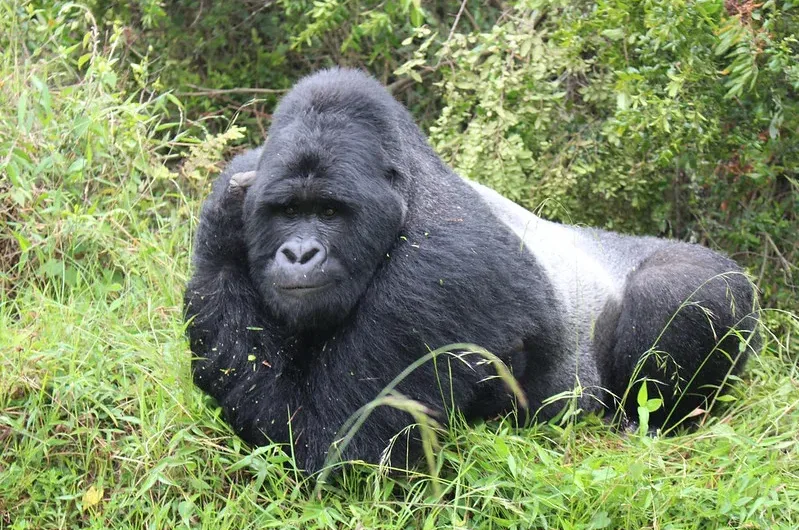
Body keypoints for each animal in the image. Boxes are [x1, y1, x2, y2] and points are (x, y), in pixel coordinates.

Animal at [183, 67, 764, 474]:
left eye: (329, 211)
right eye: (286, 212)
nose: (299, 254)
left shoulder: (441, 270)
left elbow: (333, 446)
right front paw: (227, 219)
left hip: (729, 285)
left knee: (678, 291)